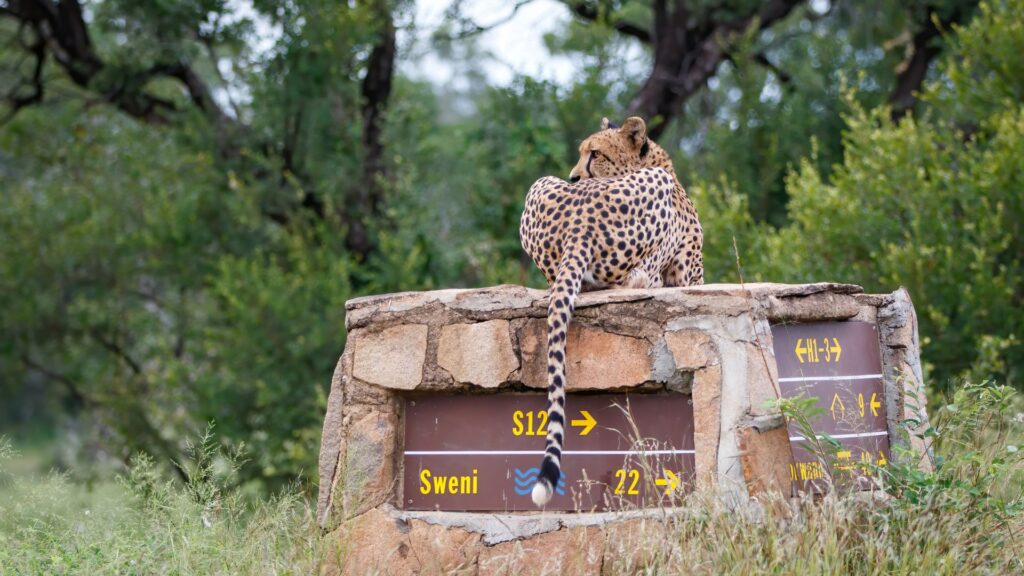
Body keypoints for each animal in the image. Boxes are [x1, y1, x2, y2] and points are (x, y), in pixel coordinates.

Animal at [520, 114, 704, 504]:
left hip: (539, 185)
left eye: (595, 154)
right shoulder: (692, 274)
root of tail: (578, 223)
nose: (573, 177)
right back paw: (649, 281)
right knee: (636, 279)